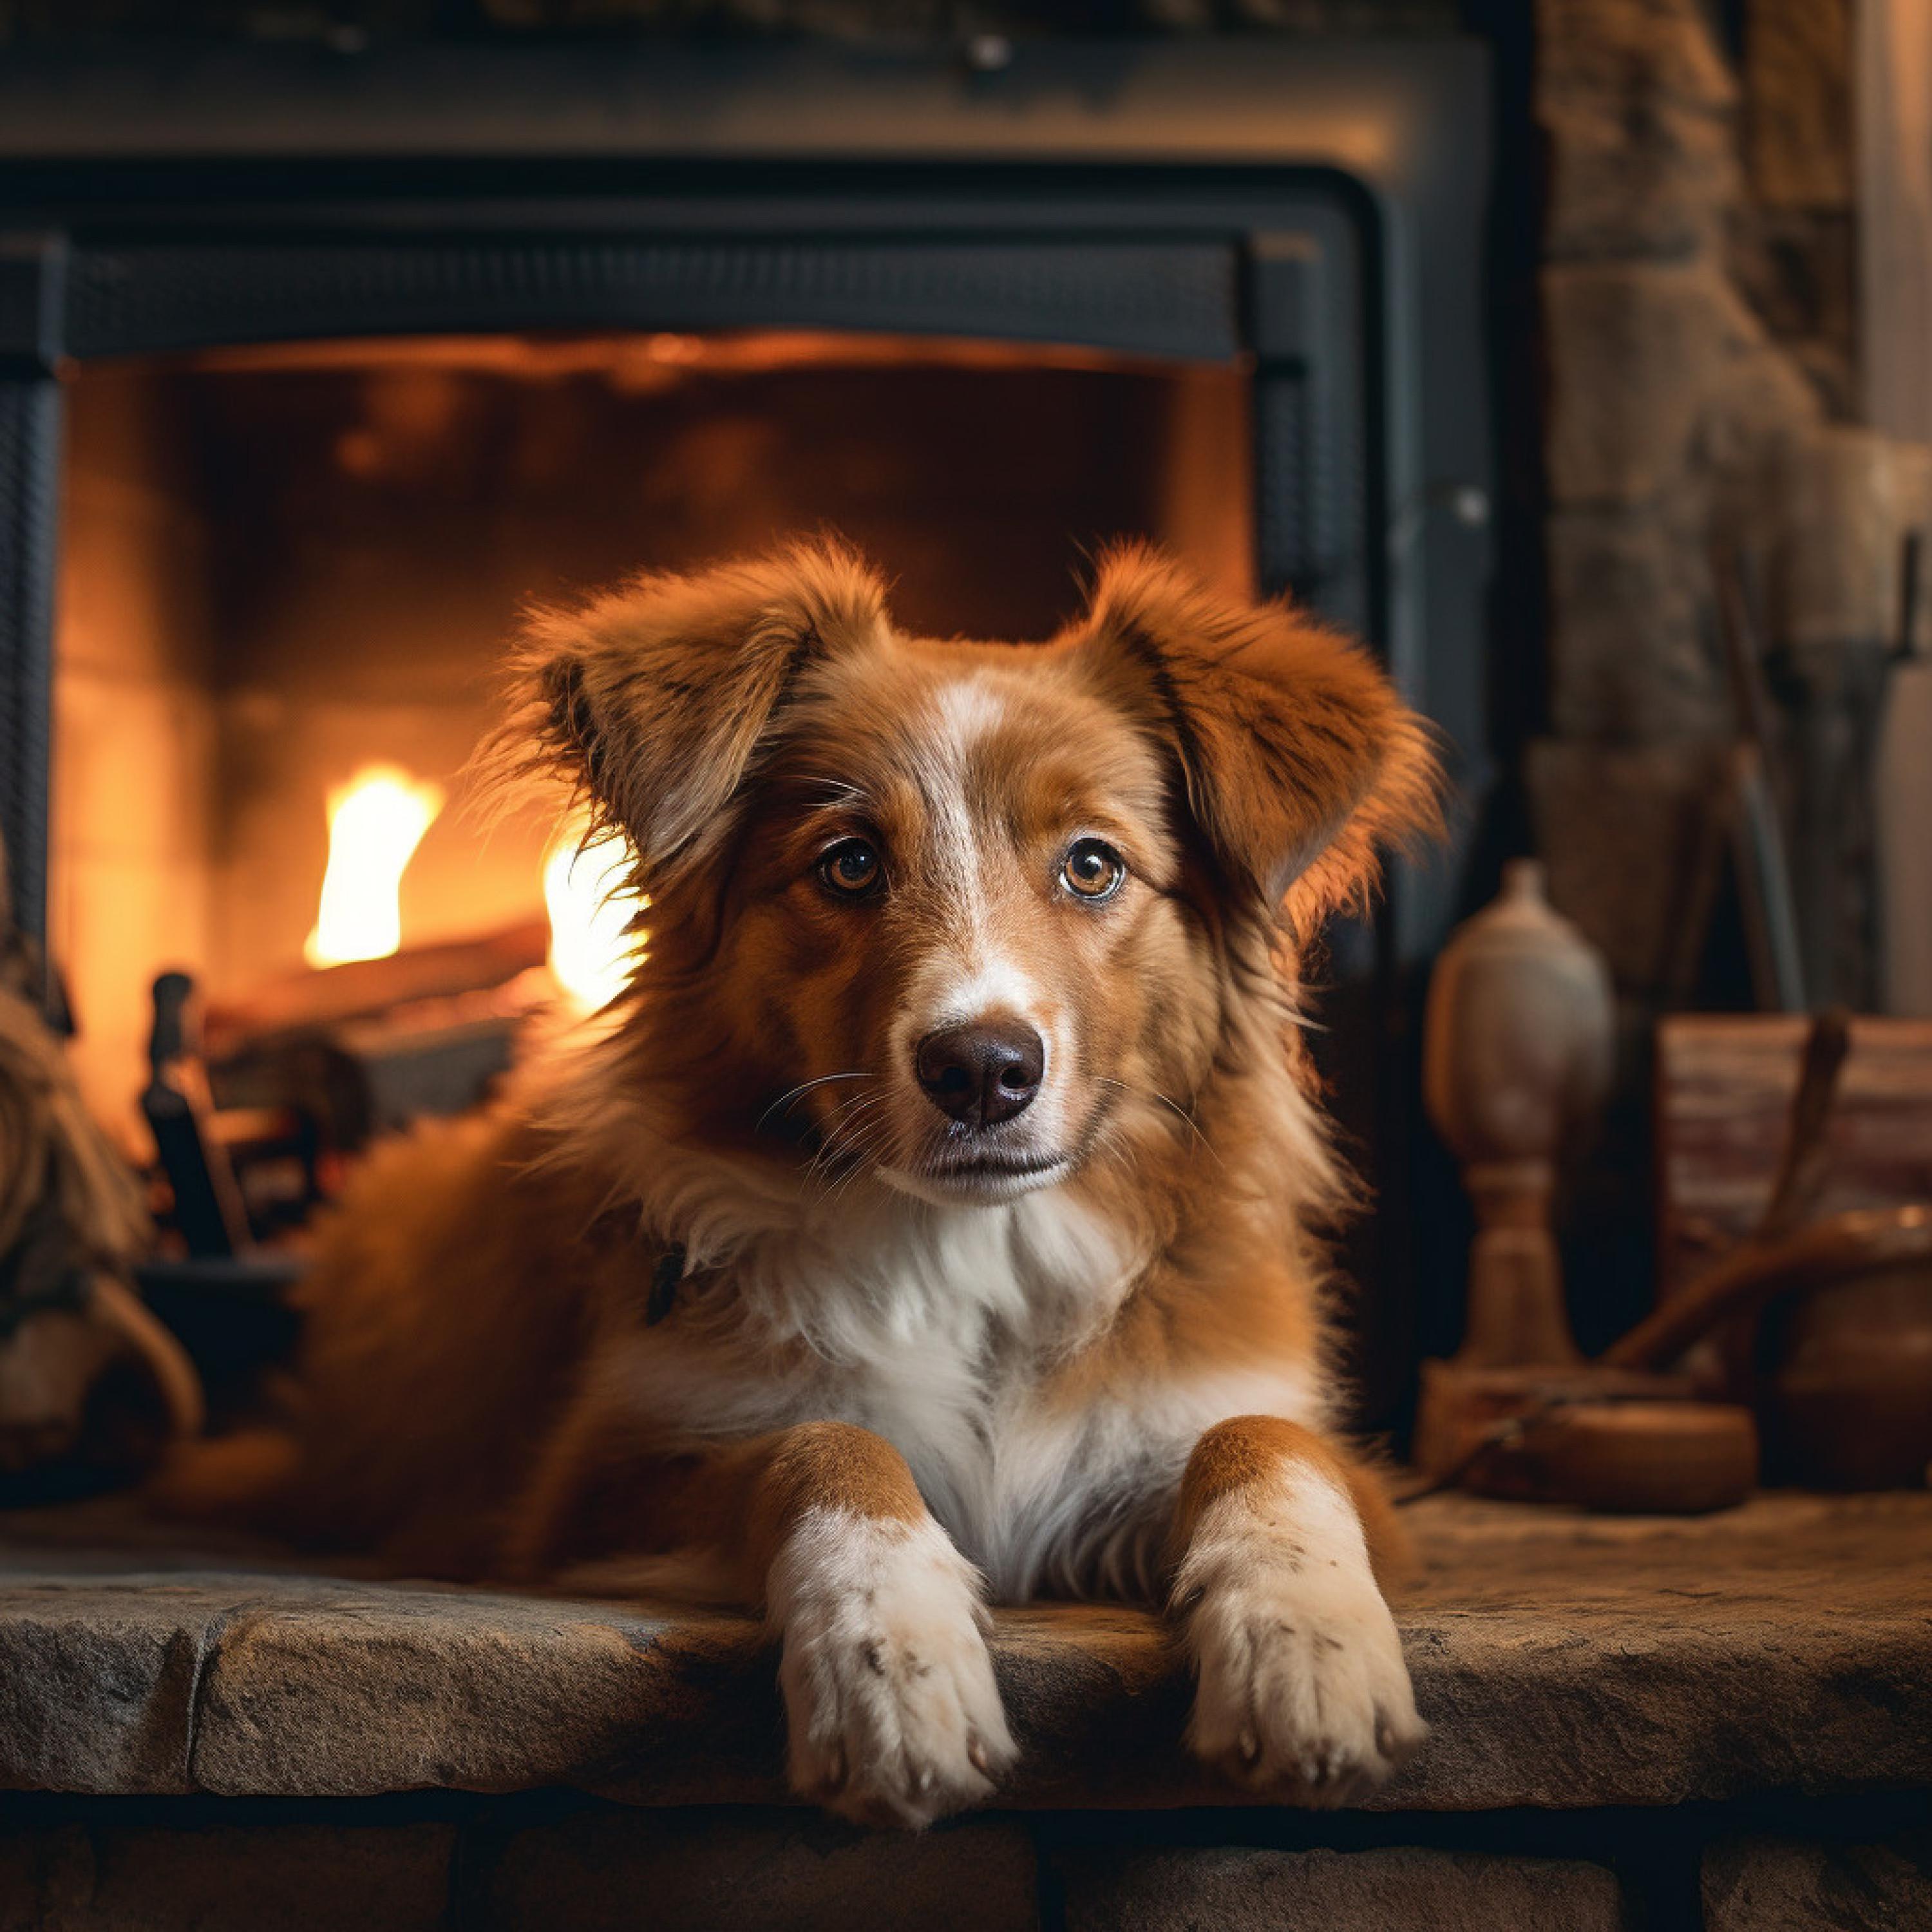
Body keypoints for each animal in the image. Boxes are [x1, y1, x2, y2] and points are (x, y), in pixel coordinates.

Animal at [178, 545, 1437, 1824]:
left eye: (1092, 865)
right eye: (851, 864)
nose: (984, 1069)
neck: (969, 1254)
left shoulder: (1300, 1449)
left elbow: (1265, 1444)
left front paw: (1308, 1646)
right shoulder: (599, 1483)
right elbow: (822, 1443)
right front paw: (892, 1658)